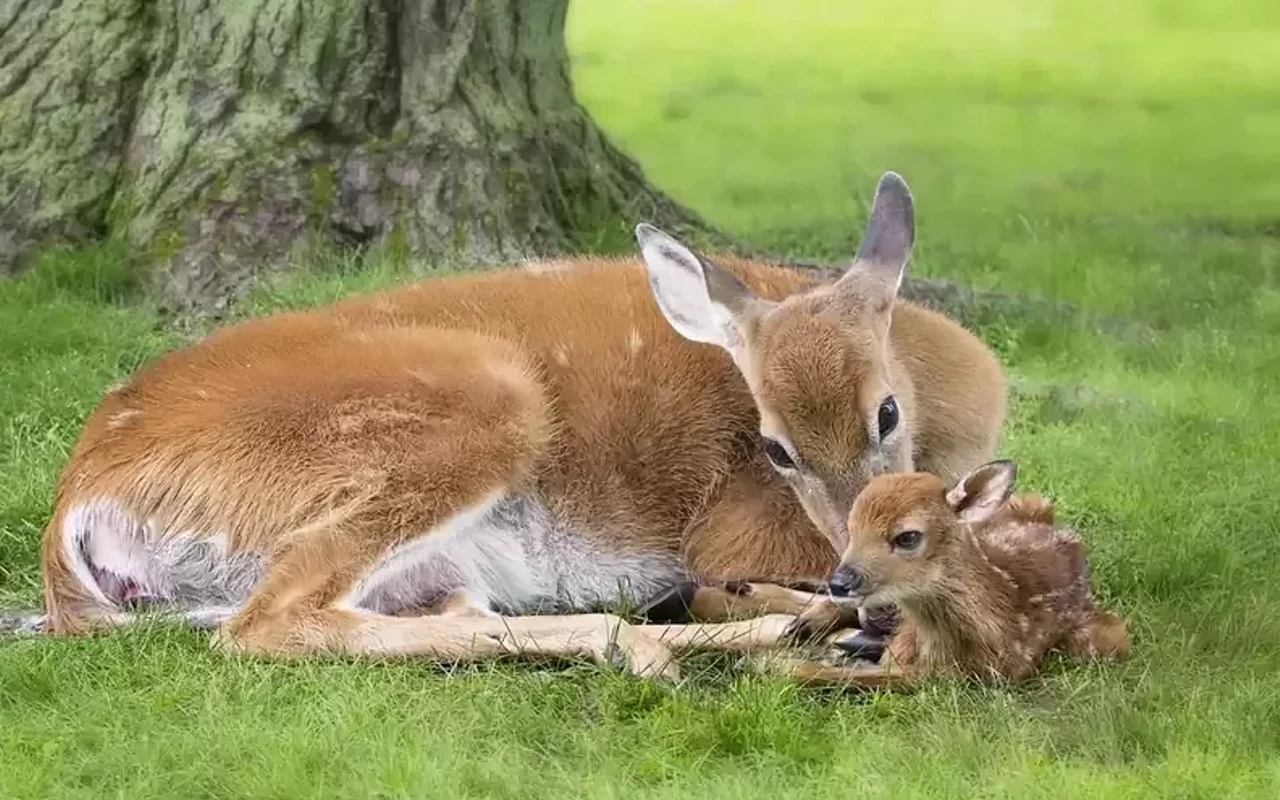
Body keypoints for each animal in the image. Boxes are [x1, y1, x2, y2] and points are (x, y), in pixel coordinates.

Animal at [27, 172, 1007, 679]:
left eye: (885, 412)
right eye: (773, 447)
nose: (856, 580)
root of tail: (74, 504)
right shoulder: (734, 525)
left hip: (435, 560)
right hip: (480, 410)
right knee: (267, 620)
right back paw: (693, 641)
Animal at [761, 461, 1131, 687]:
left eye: (907, 537)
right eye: (852, 529)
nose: (841, 582)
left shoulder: (950, 675)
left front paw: (773, 665)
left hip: (1106, 639)